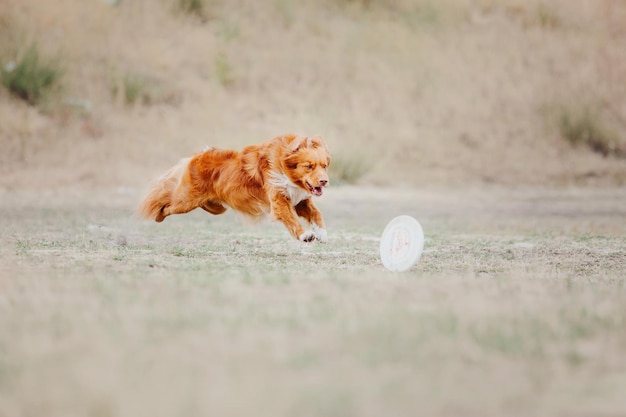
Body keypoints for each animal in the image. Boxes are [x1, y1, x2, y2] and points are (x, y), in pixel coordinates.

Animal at [137, 133, 332, 242]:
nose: (324, 181)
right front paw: (304, 235)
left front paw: (322, 233)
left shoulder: (300, 200)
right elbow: (291, 219)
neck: (284, 168)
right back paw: (157, 215)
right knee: (165, 203)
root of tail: (199, 155)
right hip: (185, 201)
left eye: (324, 166)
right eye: (309, 166)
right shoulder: (279, 201)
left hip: (214, 207)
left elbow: (317, 214)